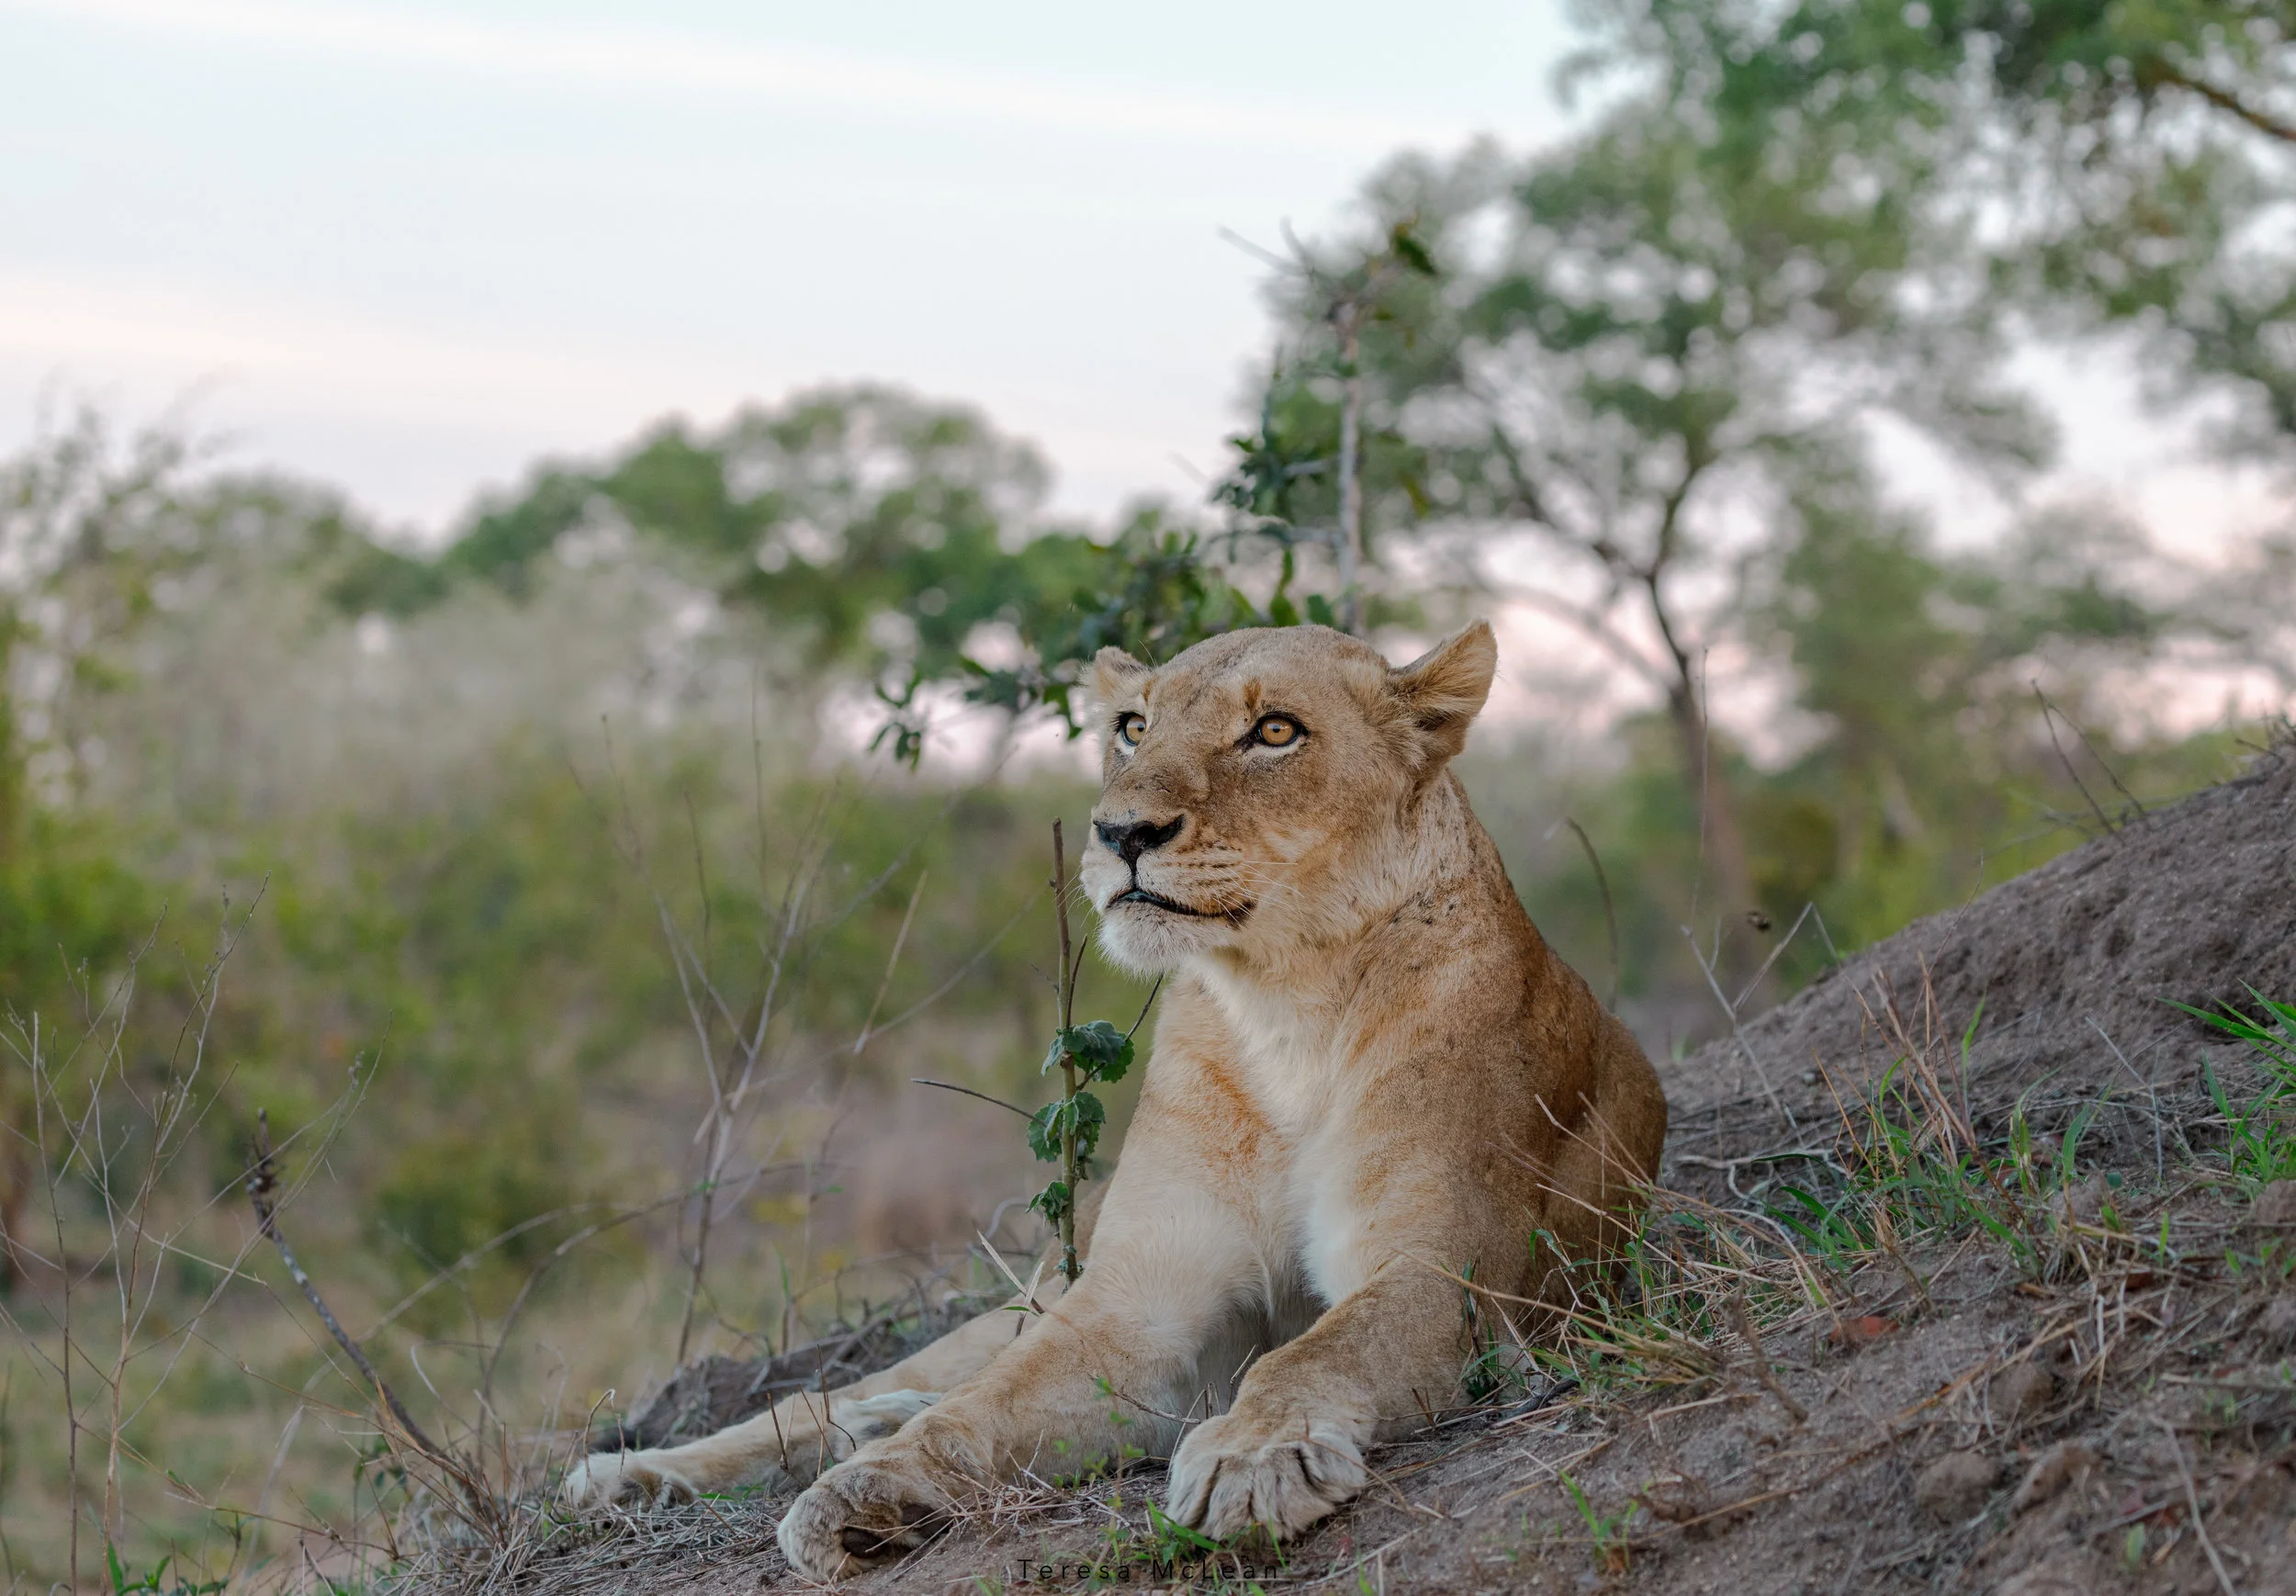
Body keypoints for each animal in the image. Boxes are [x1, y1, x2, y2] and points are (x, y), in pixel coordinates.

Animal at [563, 621, 1668, 1579]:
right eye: (1134, 726)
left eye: (1275, 731)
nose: (1120, 831)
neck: (1284, 1005)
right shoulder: (1134, 1298)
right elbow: (983, 1408)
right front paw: (864, 1496)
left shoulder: (1447, 1275)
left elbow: (1310, 1357)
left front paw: (1249, 1462)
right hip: (1033, 1291)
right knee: (838, 1395)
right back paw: (628, 1473)